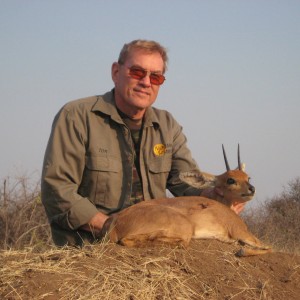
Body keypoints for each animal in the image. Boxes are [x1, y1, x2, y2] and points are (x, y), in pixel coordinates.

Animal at [106, 146, 272, 256]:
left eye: (248, 177)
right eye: (230, 180)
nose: (251, 189)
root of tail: (116, 221)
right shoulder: (241, 232)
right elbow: (269, 248)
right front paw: (241, 251)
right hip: (185, 228)